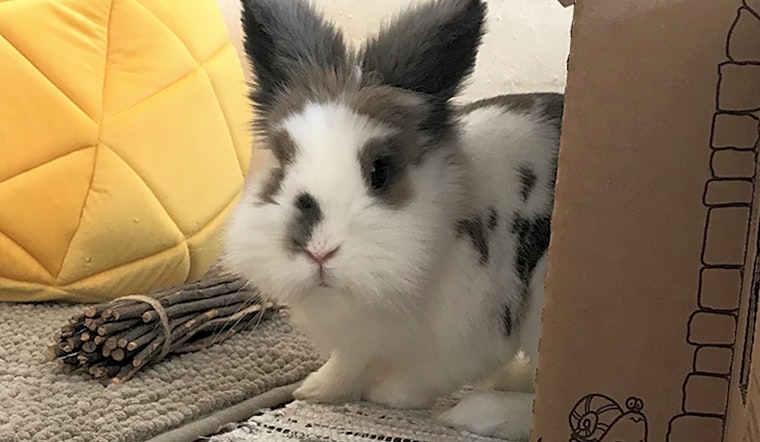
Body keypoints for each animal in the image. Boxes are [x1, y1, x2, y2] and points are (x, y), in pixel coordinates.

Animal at [222, 0, 563, 439]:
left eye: (380, 172)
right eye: (281, 164)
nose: (319, 251)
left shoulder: (472, 332)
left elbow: (425, 376)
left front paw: (386, 395)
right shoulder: (359, 336)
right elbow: (346, 362)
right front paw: (315, 390)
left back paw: (477, 411)